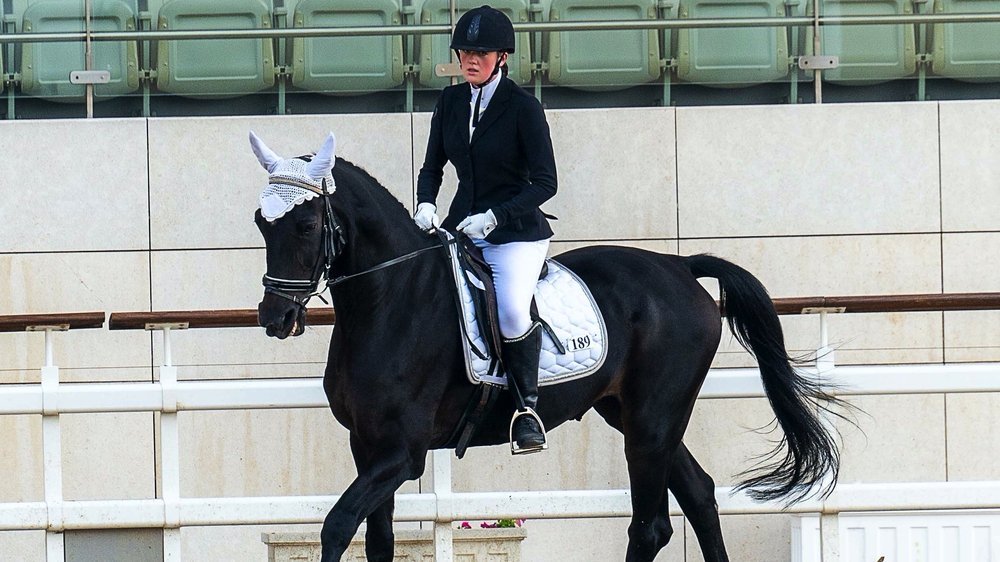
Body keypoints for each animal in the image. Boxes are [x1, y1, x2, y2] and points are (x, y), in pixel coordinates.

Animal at [252, 135, 844, 560]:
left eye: (307, 223)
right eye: (261, 222)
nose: (275, 317)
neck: (393, 299)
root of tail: (678, 265)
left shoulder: (403, 453)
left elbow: (336, 526)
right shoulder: (367, 445)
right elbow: (376, 540)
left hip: (653, 420)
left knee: (650, 526)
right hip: (633, 414)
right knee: (698, 495)